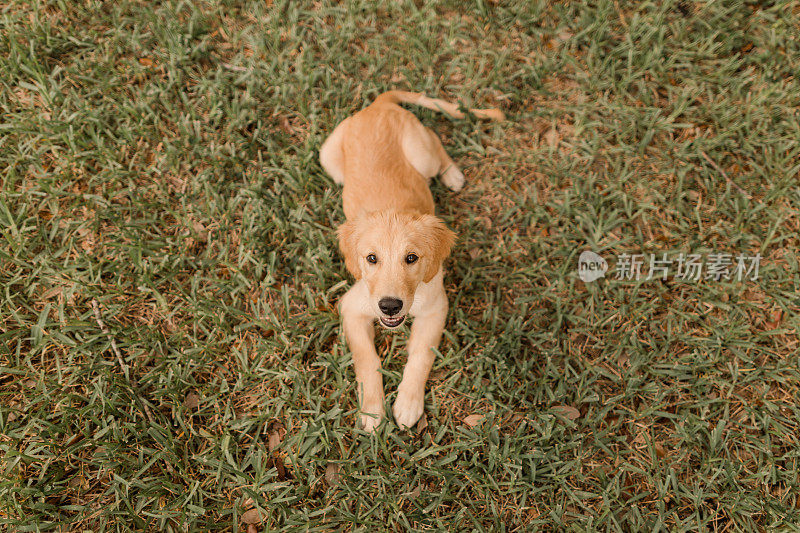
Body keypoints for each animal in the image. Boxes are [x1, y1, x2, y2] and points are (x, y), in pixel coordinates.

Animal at [318, 90, 500, 432]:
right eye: (371, 258)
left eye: (412, 258)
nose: (390, 307)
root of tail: (378, 105)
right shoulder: (351, 307)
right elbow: (367, 359)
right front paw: (372, 411)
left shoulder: (436, 308)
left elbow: (420, 357)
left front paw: (408, 404)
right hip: (329, 158)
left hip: (420, 151)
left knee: (437, 147)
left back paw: (452, 174)